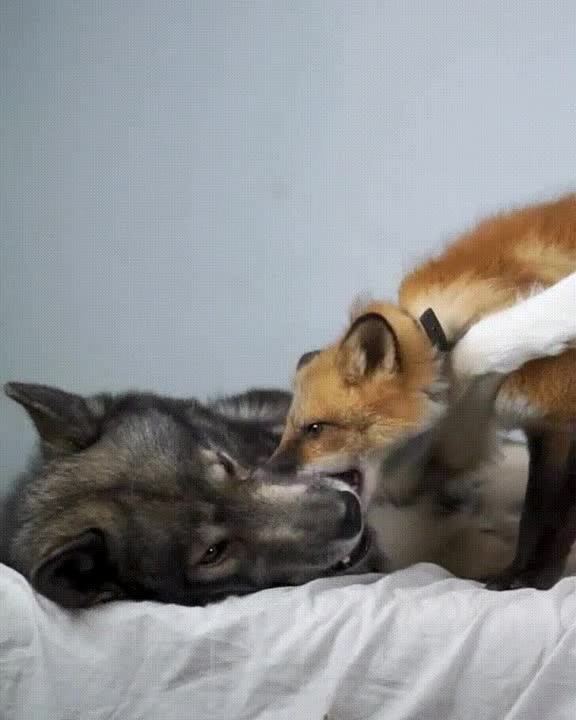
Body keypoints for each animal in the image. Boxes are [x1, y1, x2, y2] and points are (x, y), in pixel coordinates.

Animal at [270, 194, 576, 590]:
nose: (261, 472)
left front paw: (532, 581)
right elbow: (537, 519)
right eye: (287, 430)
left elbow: (551, 521)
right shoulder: (543, 429)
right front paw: (524, 576)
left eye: (316, 429)